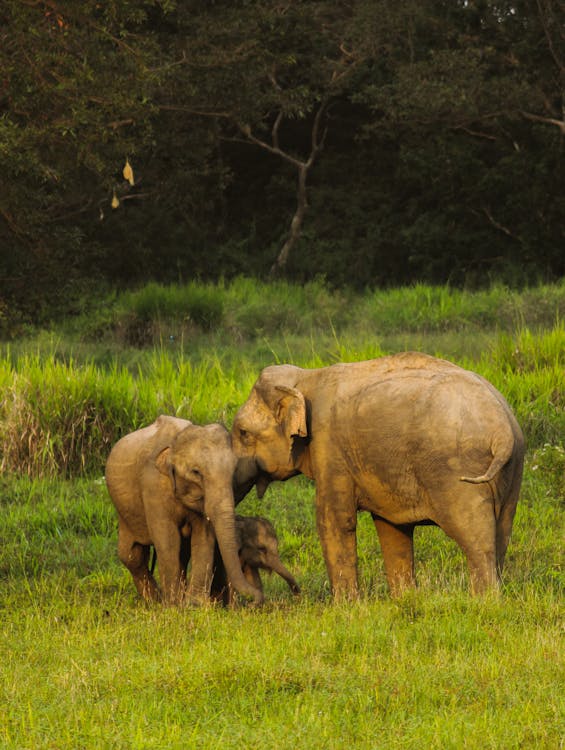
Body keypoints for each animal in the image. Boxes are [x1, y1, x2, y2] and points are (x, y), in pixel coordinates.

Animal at [106, 414, 270, 608]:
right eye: (196, 472)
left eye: (233, 472)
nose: (255, 600)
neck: (176, 441)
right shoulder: (153, 487)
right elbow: (168, 540)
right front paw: (173, 606)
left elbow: (203, 538)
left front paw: (195, 604)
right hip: (123, 512)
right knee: (132, 554)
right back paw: (155, 601)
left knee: (180, 554)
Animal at [230, 352, 524, 600]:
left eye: (243, 433)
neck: (306, 377)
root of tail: (502, 431)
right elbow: (391, 527)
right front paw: (404, 599)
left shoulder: (329, 447)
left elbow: (333, 520)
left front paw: (347, 607)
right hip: (513, 470)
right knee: (501, 533)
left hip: (456, 471)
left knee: (475, 538)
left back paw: (484, 601)